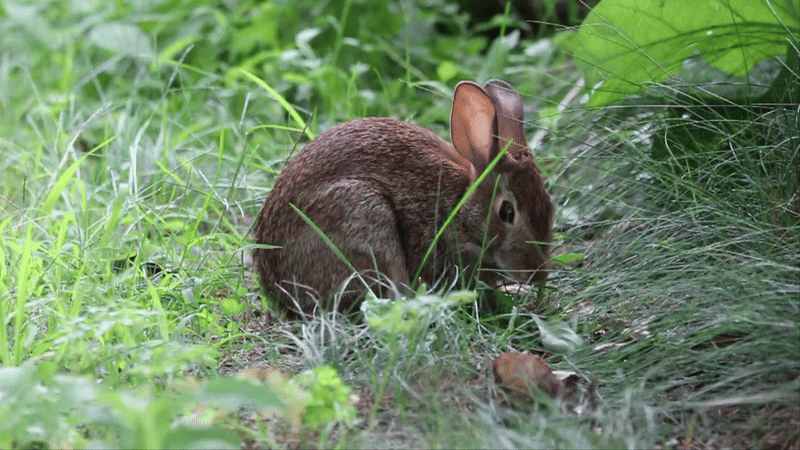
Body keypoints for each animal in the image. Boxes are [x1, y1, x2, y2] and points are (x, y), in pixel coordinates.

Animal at [253, 80, 553, 316]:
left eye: (550, 204)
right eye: (507, 212)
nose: (538, 273)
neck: (459, 210)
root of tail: (275, 287)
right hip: (365, 216)